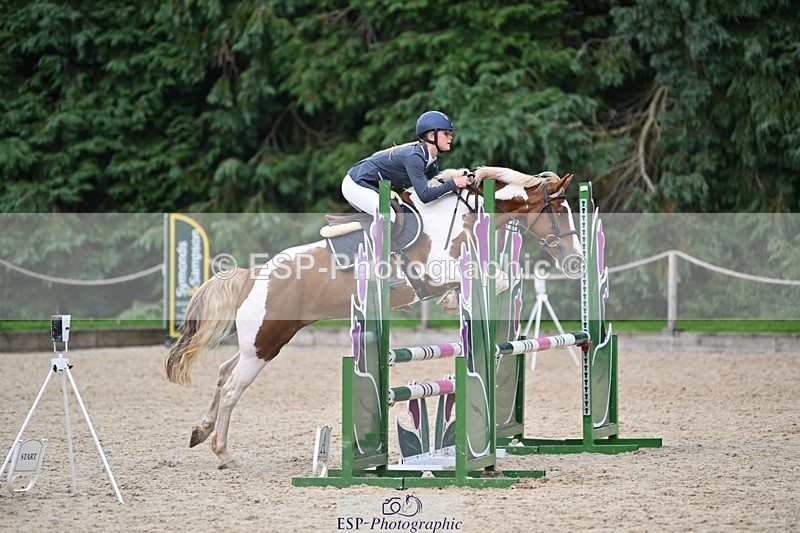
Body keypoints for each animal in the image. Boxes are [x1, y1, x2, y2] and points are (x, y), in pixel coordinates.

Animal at [164, 166, 581, 469]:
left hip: (261, 340)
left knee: (223, 372)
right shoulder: (438, 272)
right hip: (264, 345)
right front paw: (459, 303)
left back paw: (201, 431)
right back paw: (223, 454)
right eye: (560, 212)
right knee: (233, 387)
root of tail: (254, 274)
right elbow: (495, 280)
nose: (576, 262)